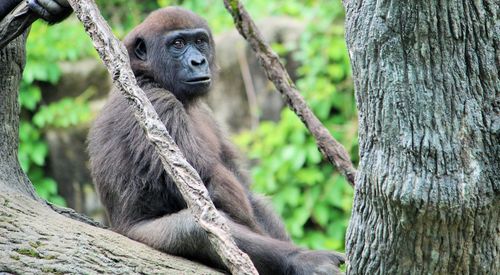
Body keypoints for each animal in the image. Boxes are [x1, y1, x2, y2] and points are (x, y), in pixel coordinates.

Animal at [87, 7, 344, 275]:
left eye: (200, 41)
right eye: (178, 44)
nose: (198, 62)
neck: (146, 76)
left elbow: (245, 194)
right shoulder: (156, 104)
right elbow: (208, 189)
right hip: (139, 236)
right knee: (194, 227)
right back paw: (301, 260)